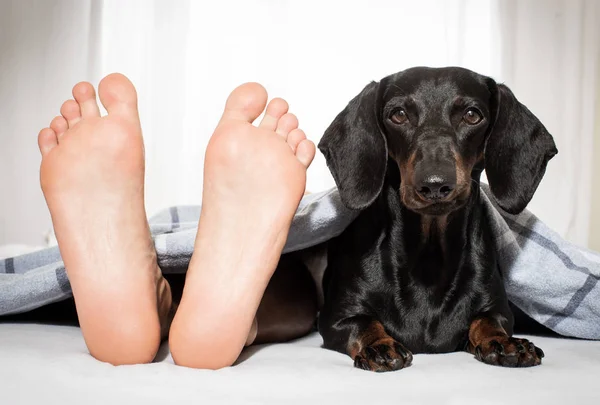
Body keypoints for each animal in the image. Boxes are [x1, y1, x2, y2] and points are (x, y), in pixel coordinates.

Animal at [314, 65, 556, 370]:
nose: (434, 185)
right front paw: (379, 344)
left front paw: (503, 342)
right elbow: (363, 323)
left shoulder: (499, 310)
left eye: (472, 115)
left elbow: (488, 320)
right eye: (399, 114)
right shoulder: (336, 318)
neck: (428, 256)